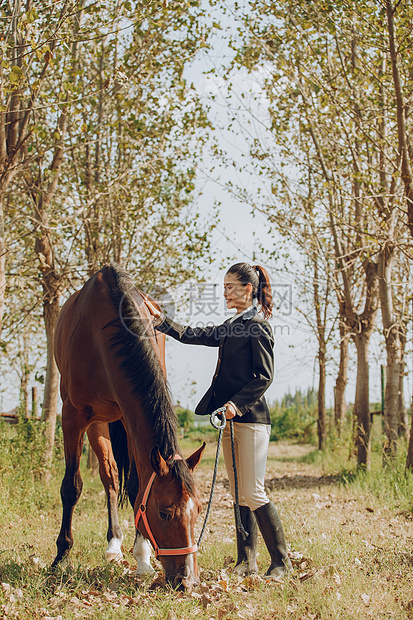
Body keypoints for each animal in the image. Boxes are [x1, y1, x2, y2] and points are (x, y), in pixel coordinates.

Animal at [52, 264, 205, 588]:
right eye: (164, 513)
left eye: (198, 509)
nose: (188, 580)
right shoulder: (72, 416)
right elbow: (71, 486)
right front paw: (61, 556)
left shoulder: (129, 417)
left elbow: (136, 486)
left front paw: (142, 559)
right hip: (97, 423)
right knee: (109, 475)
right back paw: (111, 545)